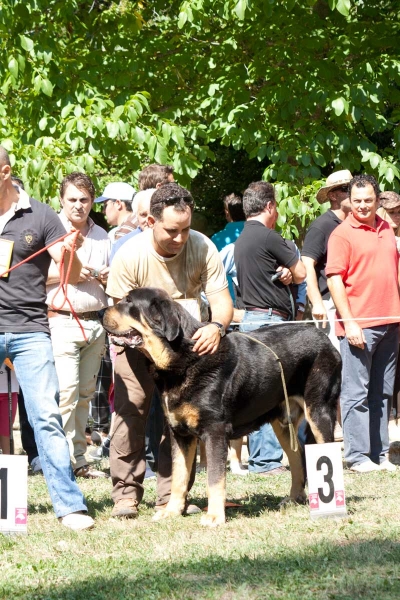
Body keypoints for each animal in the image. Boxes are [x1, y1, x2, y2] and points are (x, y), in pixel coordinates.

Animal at [102, 288, 340, 528]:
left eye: (129, 302)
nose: (101, 312)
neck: (183, 359)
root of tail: (326, 340)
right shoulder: (180, 434)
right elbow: (178, 477)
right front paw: (172, 511)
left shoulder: (214, 432)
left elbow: (214, 479)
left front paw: (215, 516)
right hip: (283, 423)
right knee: (297, 456)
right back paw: (293, 499)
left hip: (318, 412)